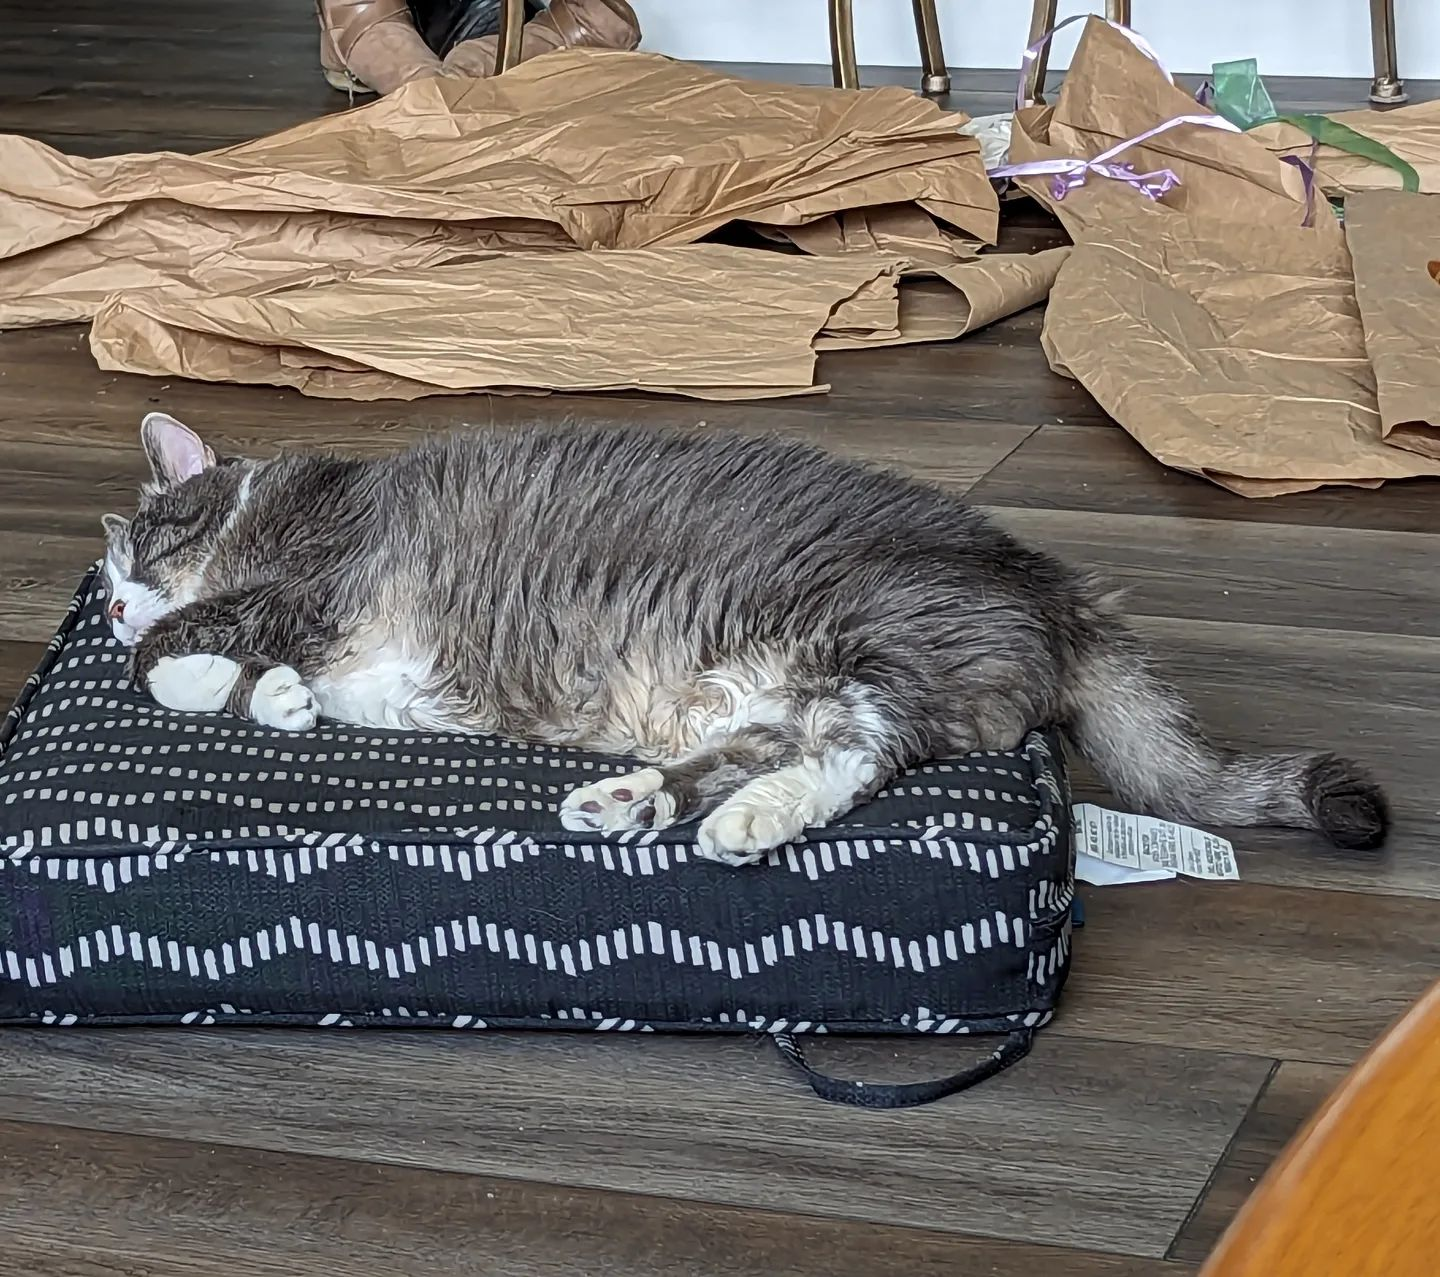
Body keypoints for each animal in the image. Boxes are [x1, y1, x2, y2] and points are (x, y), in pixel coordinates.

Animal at [100, 411, 1389, 866]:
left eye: (131, 552)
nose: (105, 602)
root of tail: (1053, 584)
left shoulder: (310, 586)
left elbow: (180, 654)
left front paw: (195, 664)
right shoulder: (361, 665)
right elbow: (274, 684)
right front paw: (270, 700)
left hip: (868, 642)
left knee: (859, 752)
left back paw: (744, 823)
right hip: (778, 686)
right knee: (768, 748)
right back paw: (636, 801)